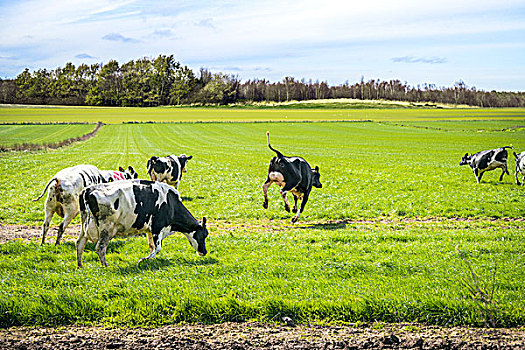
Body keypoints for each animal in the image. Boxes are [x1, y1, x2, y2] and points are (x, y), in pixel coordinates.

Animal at [77, 179, 208, 266]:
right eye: (204, 235)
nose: (205, 252)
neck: (171, 204)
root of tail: (88, 190)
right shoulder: (157, 228)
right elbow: (158, 248)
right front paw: (142, 260)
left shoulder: (149, 230)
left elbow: (152, 246)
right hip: (106, 228)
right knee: (100, 247)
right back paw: (105, 266)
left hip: (84, 227)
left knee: (79, 243)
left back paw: (80, 266)